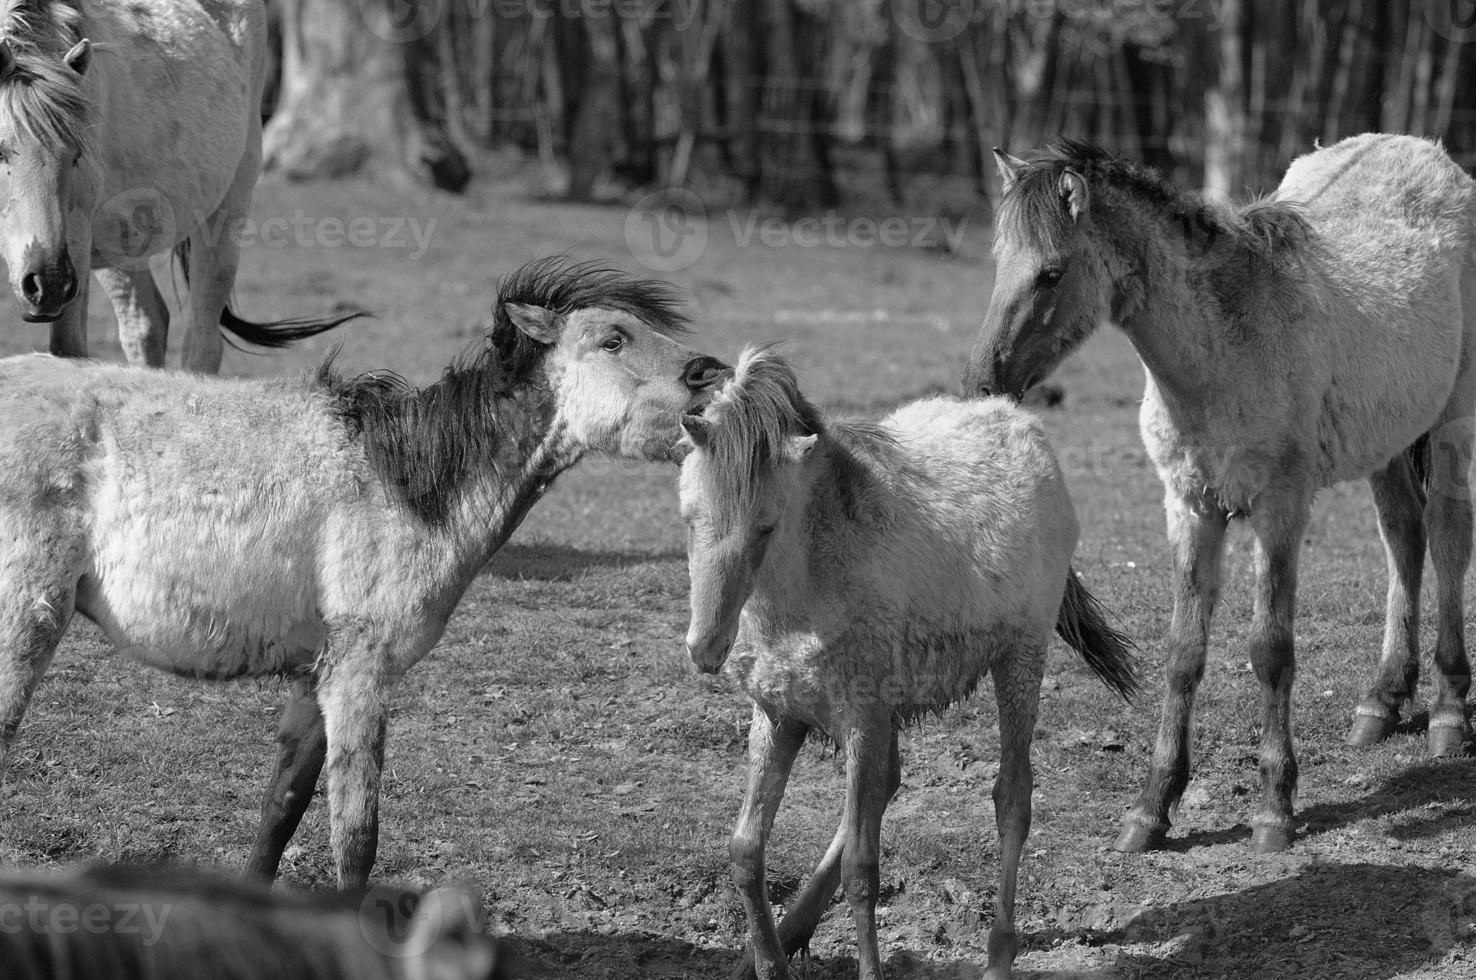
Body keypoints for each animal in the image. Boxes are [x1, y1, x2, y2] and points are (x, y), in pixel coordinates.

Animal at [0, 0, 351, 371]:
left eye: (78, 155)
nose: (47, 283)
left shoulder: (75, 243)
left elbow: (66, 351)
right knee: (146, 323)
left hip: (226, 212)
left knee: (202, 339)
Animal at [0, 256, 729, 885]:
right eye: (613, 338)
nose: (714, 373)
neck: (404, 482)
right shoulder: (360, 674)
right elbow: (355, 840)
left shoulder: (315, 678)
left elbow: (282, 808)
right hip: (26, 625)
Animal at [676, 346, 1133, 980]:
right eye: (689, 516)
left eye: (765, 525)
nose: (705, 648)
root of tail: (1018, 421)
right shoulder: (778, 715)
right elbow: (746, 850)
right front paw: (766, 961)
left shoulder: (862, 718)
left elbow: (862, 872)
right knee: (889, 787)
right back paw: (792, 933)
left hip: (1020, 660)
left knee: (1012, 798)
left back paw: (999, 953)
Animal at [962, 134, 1476, 856]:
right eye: (999, 263)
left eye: (1052, 273)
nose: (983, 381)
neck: (1226, 351)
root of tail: (1427, 152)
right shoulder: (1189, 508)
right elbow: (1183, 653)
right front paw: (1151, 808)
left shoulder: (1279, 510)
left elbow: (1270, 650)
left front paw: (1273, 808)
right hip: (1389, 437)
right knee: (1405, 535)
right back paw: (1382, 700)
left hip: (1453, 419)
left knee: (1450, 534)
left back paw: (1450, 710)